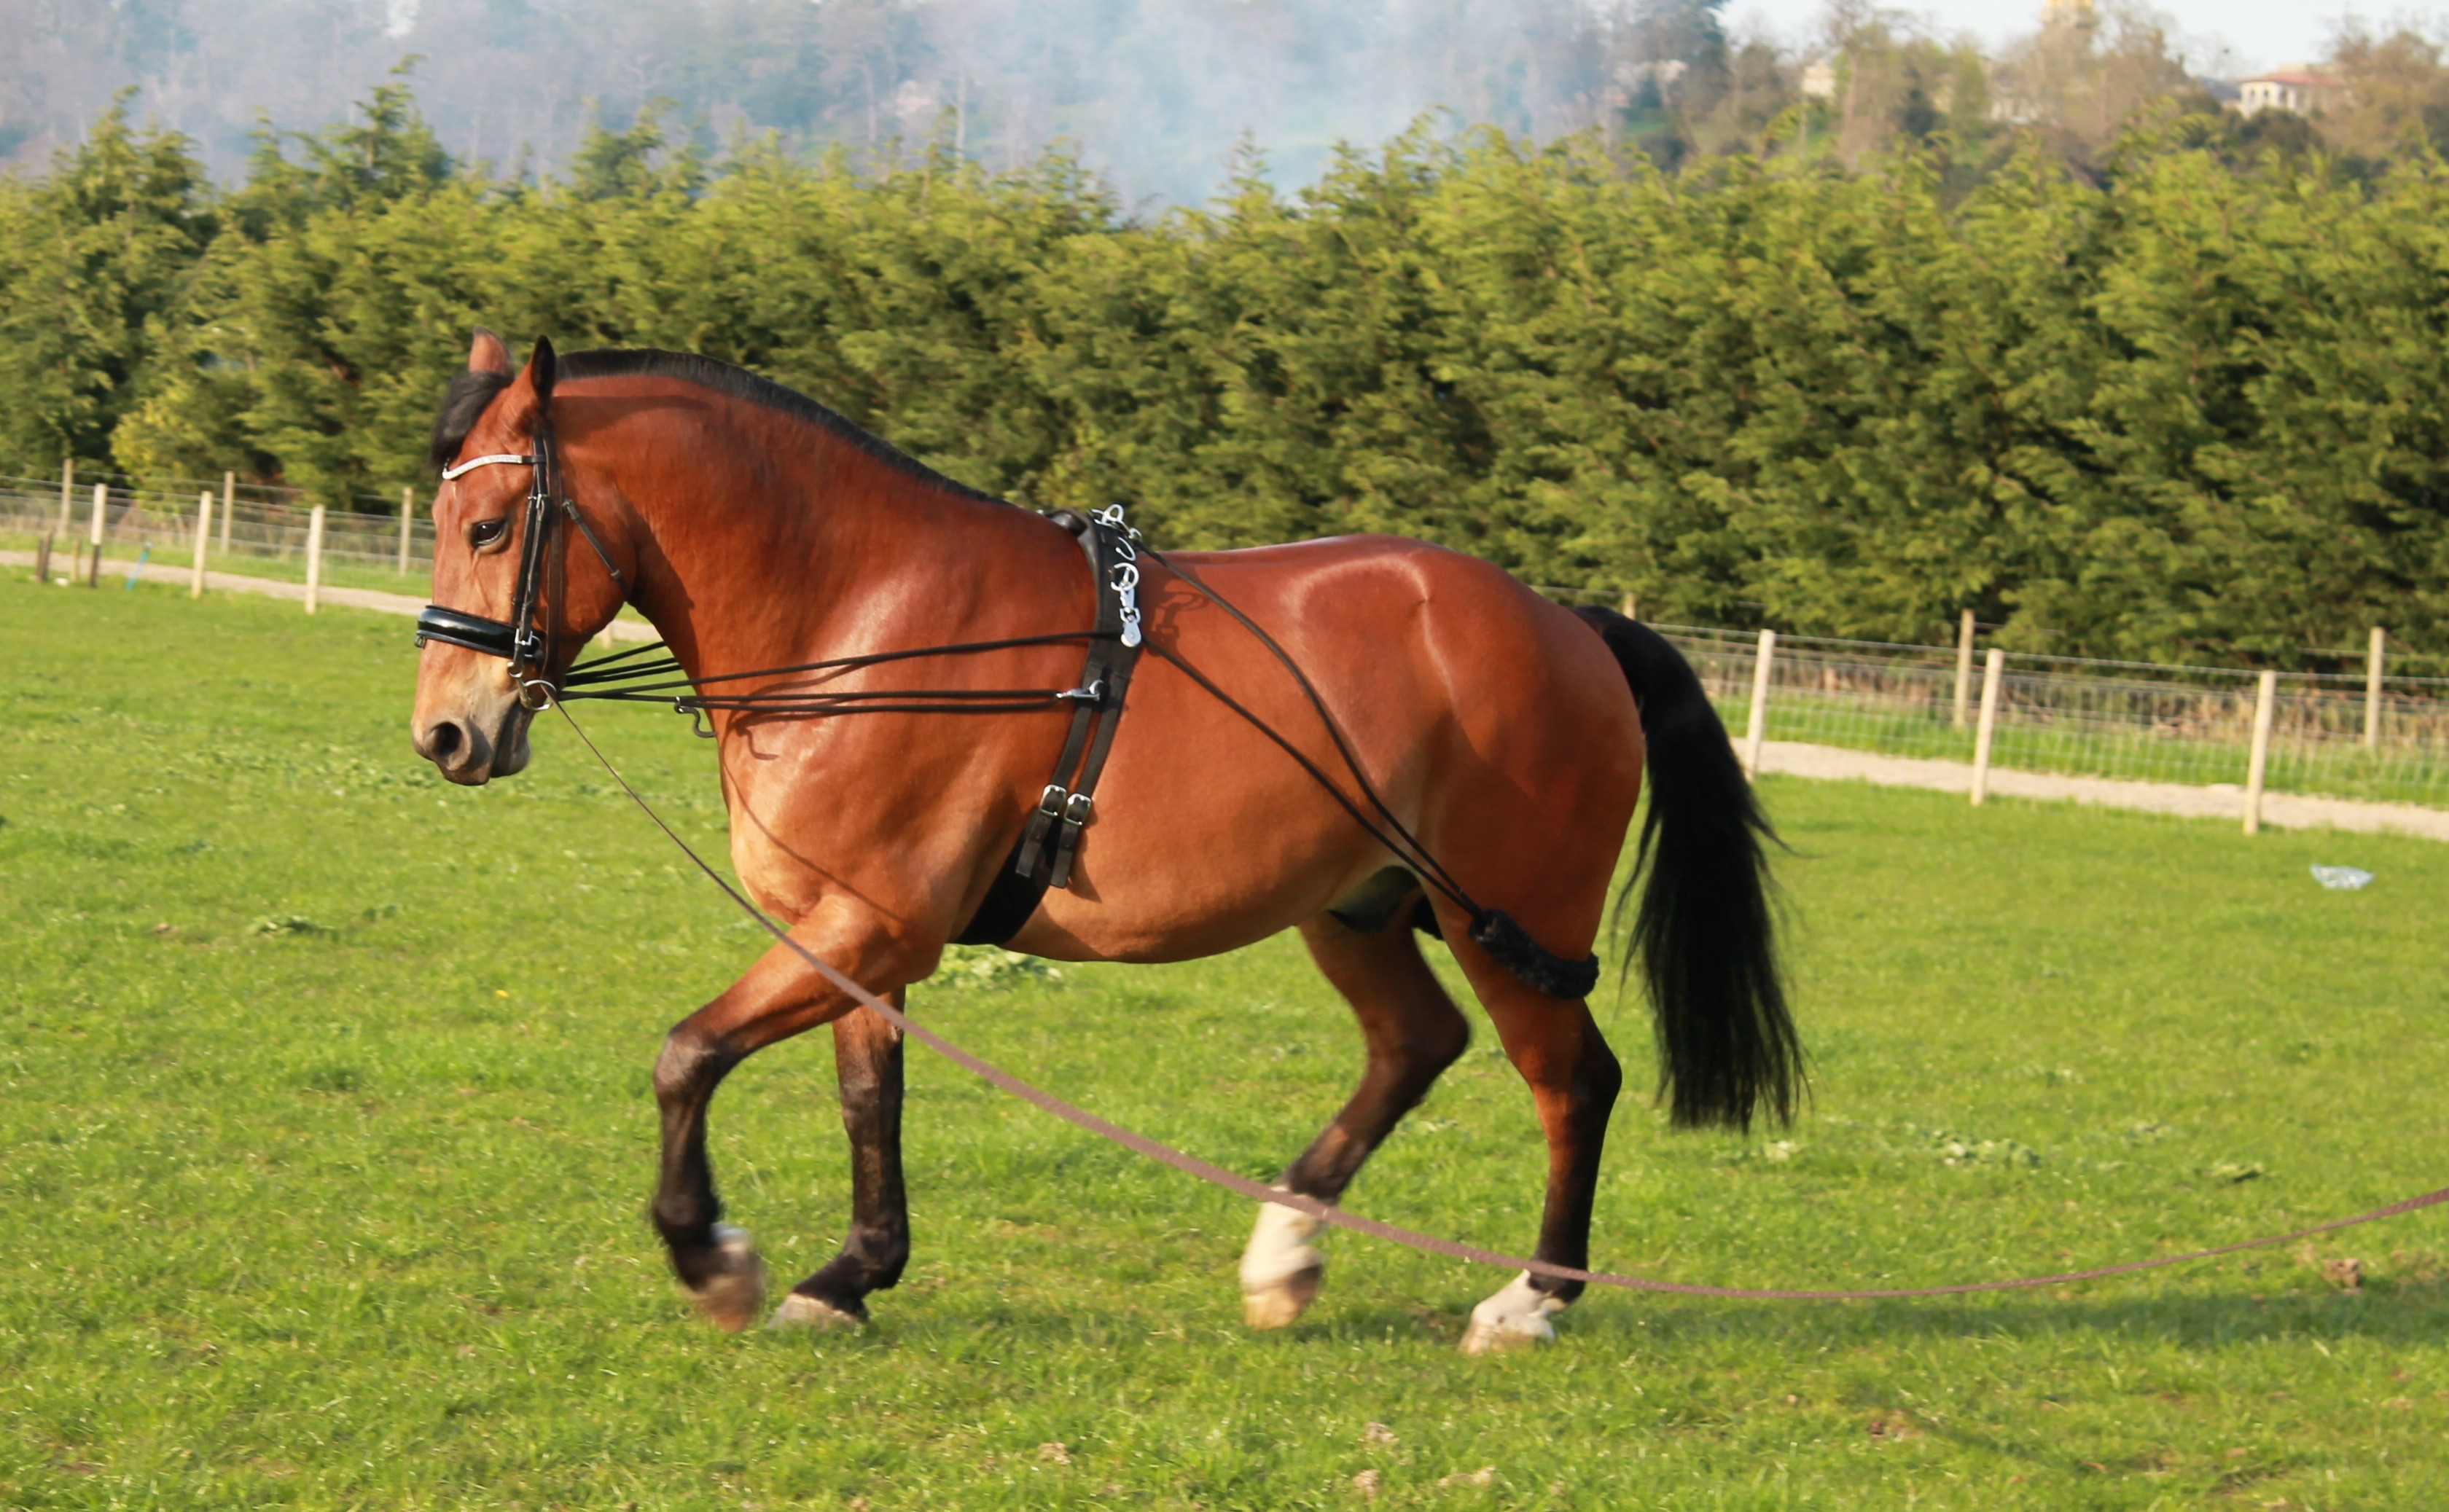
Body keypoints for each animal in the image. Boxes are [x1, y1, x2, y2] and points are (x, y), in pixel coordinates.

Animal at [409, 329, 1798, 1353]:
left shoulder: (871, 922)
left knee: (1573, 1082)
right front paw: (853, 1272)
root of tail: (1565, 622)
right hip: (1358, 905)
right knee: (1417, 1045)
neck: (861, 620)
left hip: (1508, 919)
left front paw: (714, 1257)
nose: (445, 732)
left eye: (489, 529)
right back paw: (1284, 1253)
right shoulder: (855, 932)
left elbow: (687, 1054)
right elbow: (867, 1096)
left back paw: (1532, 1298)